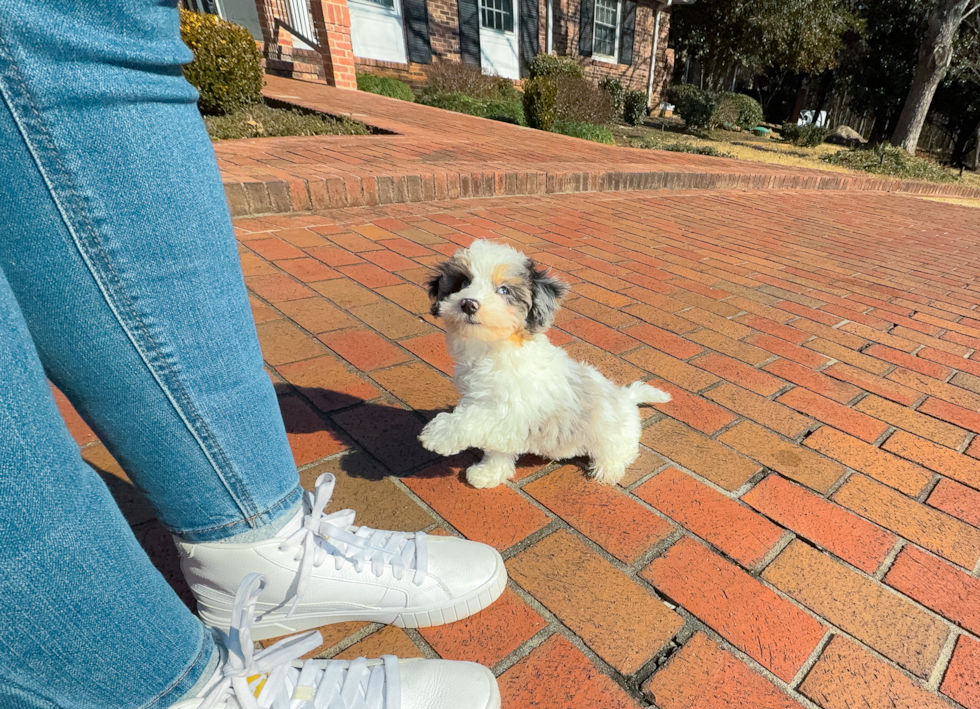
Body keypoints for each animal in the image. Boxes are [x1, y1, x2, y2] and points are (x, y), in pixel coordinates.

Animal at [418, 241, 668, 490]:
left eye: (504, 290)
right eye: (463, 283)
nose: (468, 303)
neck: (494, 347)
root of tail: (626, 397)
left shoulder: (511, 411)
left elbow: (473, 419)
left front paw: (440, 434)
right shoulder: (488, 406)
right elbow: (498, 447)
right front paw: (489, 472)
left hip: (613, 434)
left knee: (621, 452)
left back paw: (607, 470)